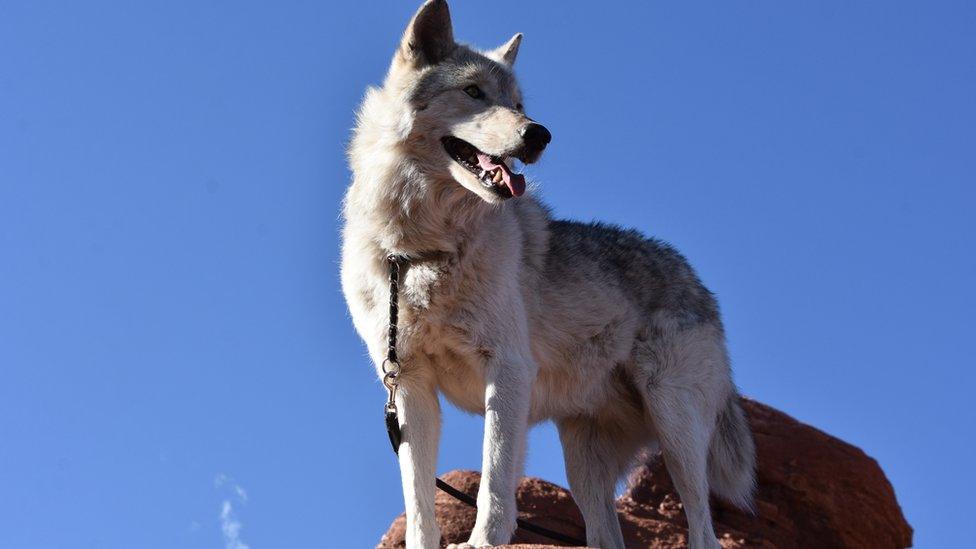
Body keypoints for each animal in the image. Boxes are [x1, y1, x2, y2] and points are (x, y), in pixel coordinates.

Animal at [340, 2, 760, 544]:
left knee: (705, 532)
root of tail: (700, 284)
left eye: (518, 102)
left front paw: (482, 542)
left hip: (675, 427)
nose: (539, 134)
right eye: (474, 91)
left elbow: (495, 478)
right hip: (584, 462)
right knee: (608, 537)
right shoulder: (409, 386)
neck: (421, 249)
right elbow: (418, 504)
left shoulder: (509, 368)